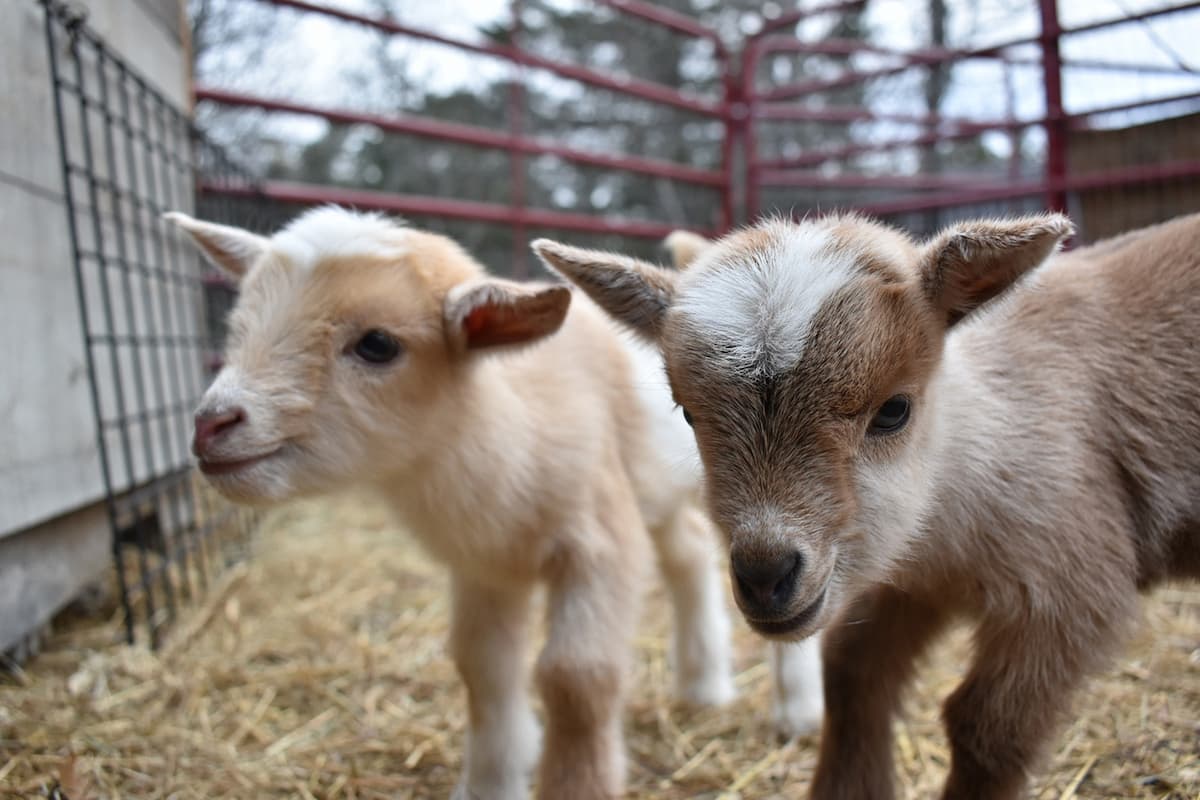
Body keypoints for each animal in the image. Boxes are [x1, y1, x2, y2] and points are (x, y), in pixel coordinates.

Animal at [166, 208, 825, 800]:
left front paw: (575, 784)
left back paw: (797, 711)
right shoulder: (486, 565)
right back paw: (703, 686)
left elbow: (576, 676)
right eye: (240, 323)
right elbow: (483, 668)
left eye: (377, 344)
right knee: (688, 555)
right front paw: (490, 781)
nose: (212, 424)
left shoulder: (599, 539)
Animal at [535, 212, 1200, 800]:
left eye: (894, 410)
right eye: (687, 413)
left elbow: (986, 726)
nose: (765, 576)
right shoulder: (911, 579)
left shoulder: (1071, 579)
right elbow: (852, 673)